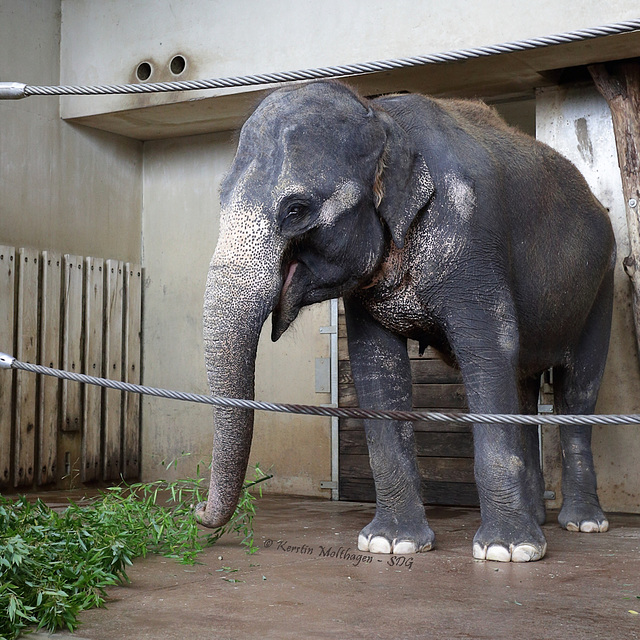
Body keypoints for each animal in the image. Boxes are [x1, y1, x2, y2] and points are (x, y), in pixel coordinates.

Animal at [195, 77, 616, 564]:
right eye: (220, 198)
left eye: (296, 210)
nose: (197, 513)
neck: (383, 118)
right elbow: (376, 365)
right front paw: (391, 543)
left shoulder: (471, 237)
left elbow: (489, 350)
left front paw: (507, 551)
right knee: (525, 386)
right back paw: (539, 519)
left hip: (603, 284)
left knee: (578, 390)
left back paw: (583, 524)